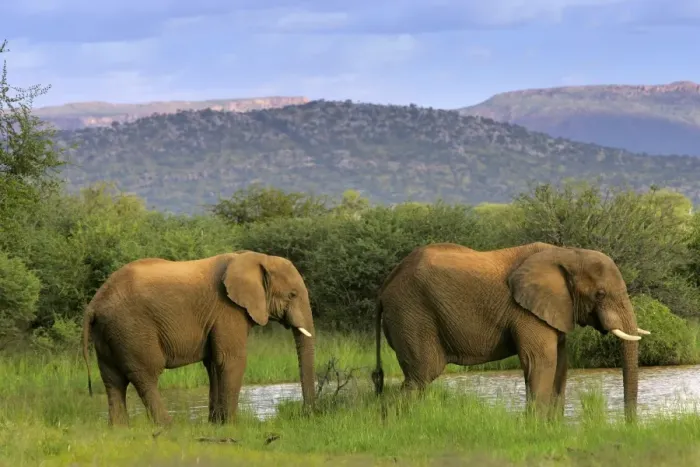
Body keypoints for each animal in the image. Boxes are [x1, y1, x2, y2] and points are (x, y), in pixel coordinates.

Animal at [81, 250, 316, 426]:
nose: (305, 413)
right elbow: (231, 360)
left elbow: (213, 363)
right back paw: (168, 426)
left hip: (108, 332)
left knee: (112, 379)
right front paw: (232, 425)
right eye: (292, 295)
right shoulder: (227, 309)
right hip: (132, 328)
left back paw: (119, 429)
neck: (255, 258)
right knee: (146, 375)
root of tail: (94, 304)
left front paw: (216, 424)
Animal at [371, 242, 650, 422]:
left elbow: (561, 363)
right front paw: (536, 428)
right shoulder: (525, 311)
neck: (568, 253)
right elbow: (541, 361)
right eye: (600, 294)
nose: (629, 425)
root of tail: (384, 286)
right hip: (411, 313)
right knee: (422, 374)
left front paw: (553, 427)